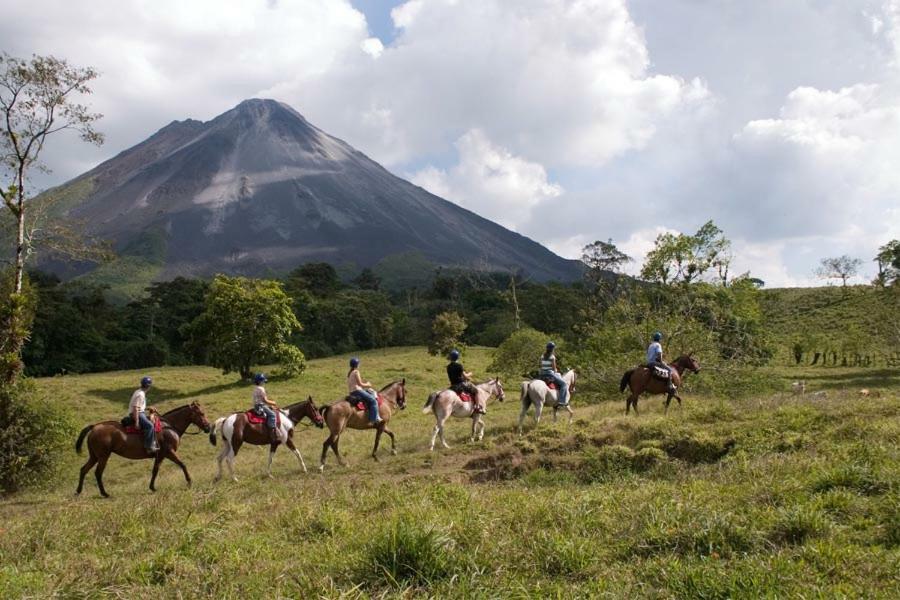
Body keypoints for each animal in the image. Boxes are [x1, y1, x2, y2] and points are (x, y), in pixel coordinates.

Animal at [74, 404, 212, 496]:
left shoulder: (160, 455)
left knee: (83, 470)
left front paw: (152, 487)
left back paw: (78, 491)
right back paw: (104, 493)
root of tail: (94, 427)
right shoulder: (169, 452)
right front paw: (189, 482)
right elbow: (183, 464)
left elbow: (155, 470)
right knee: (98, 473)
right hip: (103, 456)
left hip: (94, 456)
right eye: (201, 414)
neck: (169, 427)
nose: (208, 427)